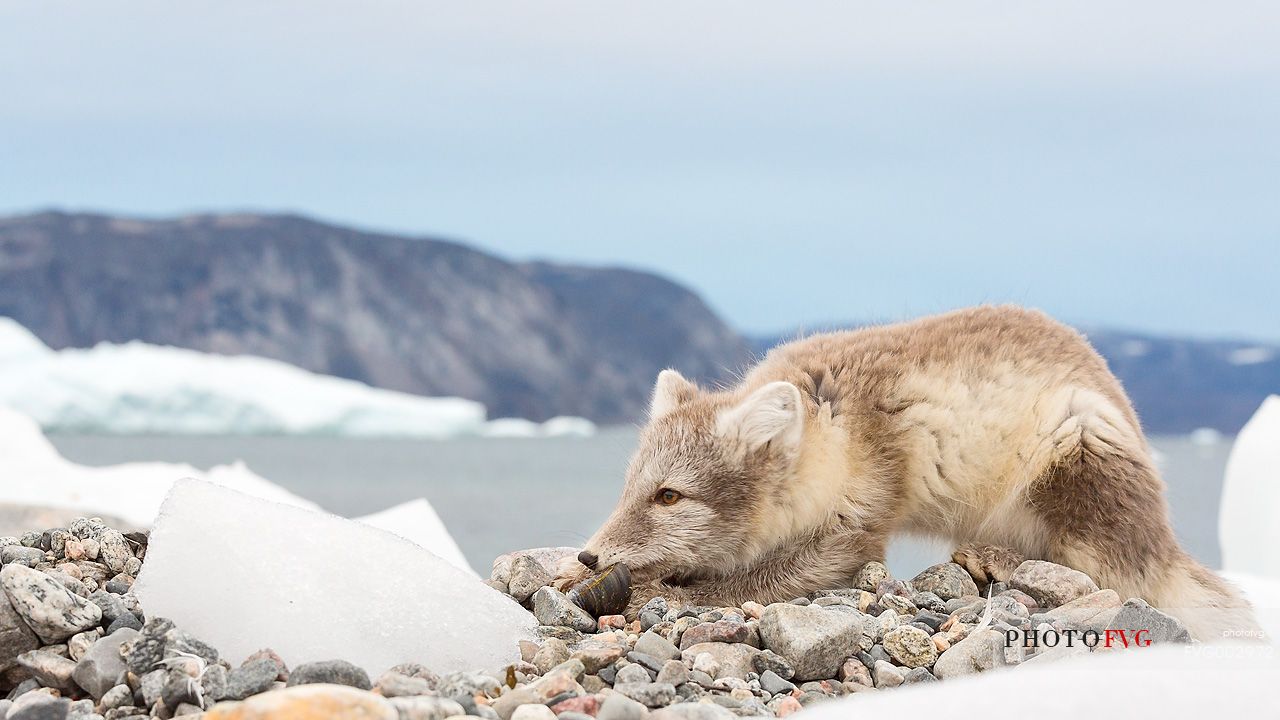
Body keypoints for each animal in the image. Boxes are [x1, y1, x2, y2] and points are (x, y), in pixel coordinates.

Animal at [565, 302, 1254, 638]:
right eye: (630, 488)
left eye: (669, 496)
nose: (590, 556)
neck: (834, 426)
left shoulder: (859, 522)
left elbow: (752, 581)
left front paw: (661, 593)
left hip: (1079, 449)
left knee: (1108, 576)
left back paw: (999, 561)